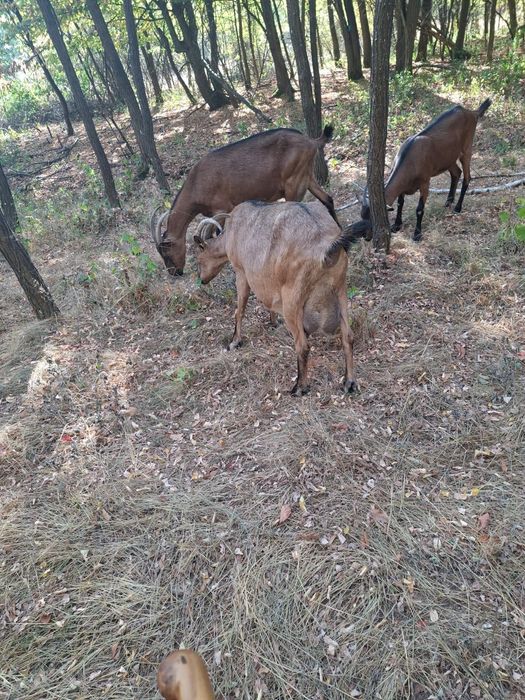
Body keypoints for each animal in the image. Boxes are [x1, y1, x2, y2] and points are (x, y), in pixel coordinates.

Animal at [151, 126, 338, 276]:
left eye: (166, 252)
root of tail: (310, 141)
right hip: (307, 177)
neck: (196, 183)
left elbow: (212, 235)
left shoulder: (222, 208)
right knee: (328, 200)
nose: (175, 272)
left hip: (294, 183)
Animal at [193, 200, 371, 396]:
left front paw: (234, 342)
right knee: (348, 336)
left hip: (292, 299)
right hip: (341, 290)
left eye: (199, 259)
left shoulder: (241, 273)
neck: (230, 235)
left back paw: (299, 387)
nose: (202, 279)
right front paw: (273, 322)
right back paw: (349, 382)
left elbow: (240, 309)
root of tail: (326, 248)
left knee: (302, 345)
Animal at [361, 98, 491, 241]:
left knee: (467, 177)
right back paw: (448, 202)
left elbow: (419, 209)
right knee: (456, 173)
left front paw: (417, 234)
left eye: (372, 220)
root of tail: (472, 112)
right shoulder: (403, 186)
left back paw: (457, 207)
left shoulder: (425, 182)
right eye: (362, 216)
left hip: (466, 149)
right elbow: (400, 203)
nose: (367, 237)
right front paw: (396, 225)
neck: (409, 159)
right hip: (448, 157)